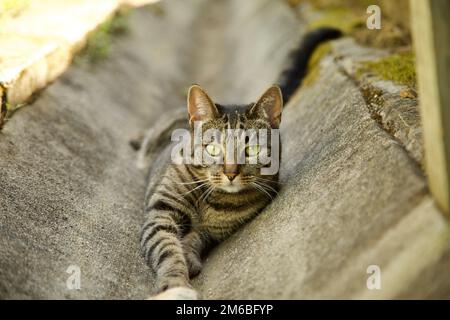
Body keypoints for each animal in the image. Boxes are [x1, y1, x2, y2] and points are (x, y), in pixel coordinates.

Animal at [139, 26, 340, 298]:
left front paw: (189, 258)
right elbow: (167, 249)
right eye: (213, 148)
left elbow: (193, 239)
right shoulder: (160, 212)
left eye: (251, 149)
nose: (231, 172)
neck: (210, 199)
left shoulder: (213, 232)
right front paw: (175, 285)